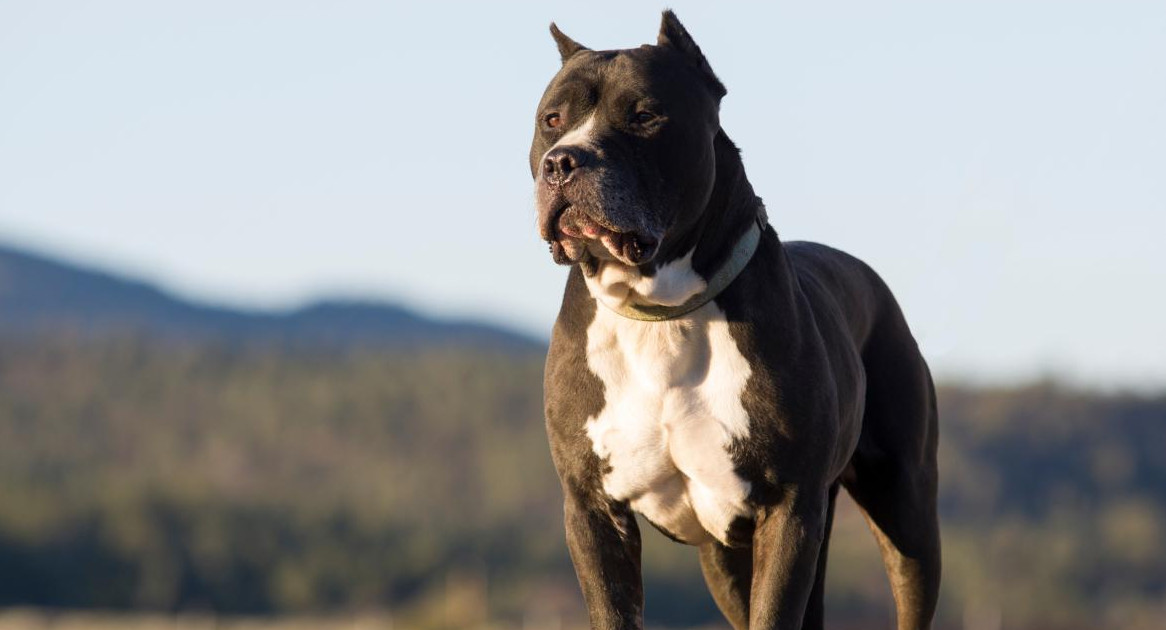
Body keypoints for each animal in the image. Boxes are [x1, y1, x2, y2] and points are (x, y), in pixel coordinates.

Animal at [534, 11, 942, 630]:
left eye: (645, 116)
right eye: (551, 120)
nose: (562, 159)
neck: (661, 311)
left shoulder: (789, 508)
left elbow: (773, 615)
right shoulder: (592, 511)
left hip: (906, 507)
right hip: (726, 556)